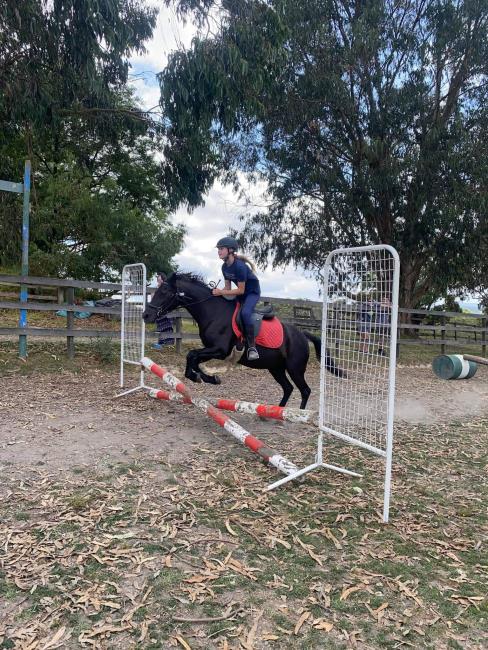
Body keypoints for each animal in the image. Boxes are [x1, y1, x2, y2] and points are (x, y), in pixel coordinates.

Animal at [142, 272, 345, 409]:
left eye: (165, 291)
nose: (146, 315)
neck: (213, 312)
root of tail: (302, 335)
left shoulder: (220, 350)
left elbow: (192, 356)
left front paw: (207, 378)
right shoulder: (211, 350)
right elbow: (192, 359)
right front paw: (205, 377)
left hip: (295, 368)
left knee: (304, 390)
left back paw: (297, 415)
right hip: (276, 368)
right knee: (288, 388)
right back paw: (275, 413)